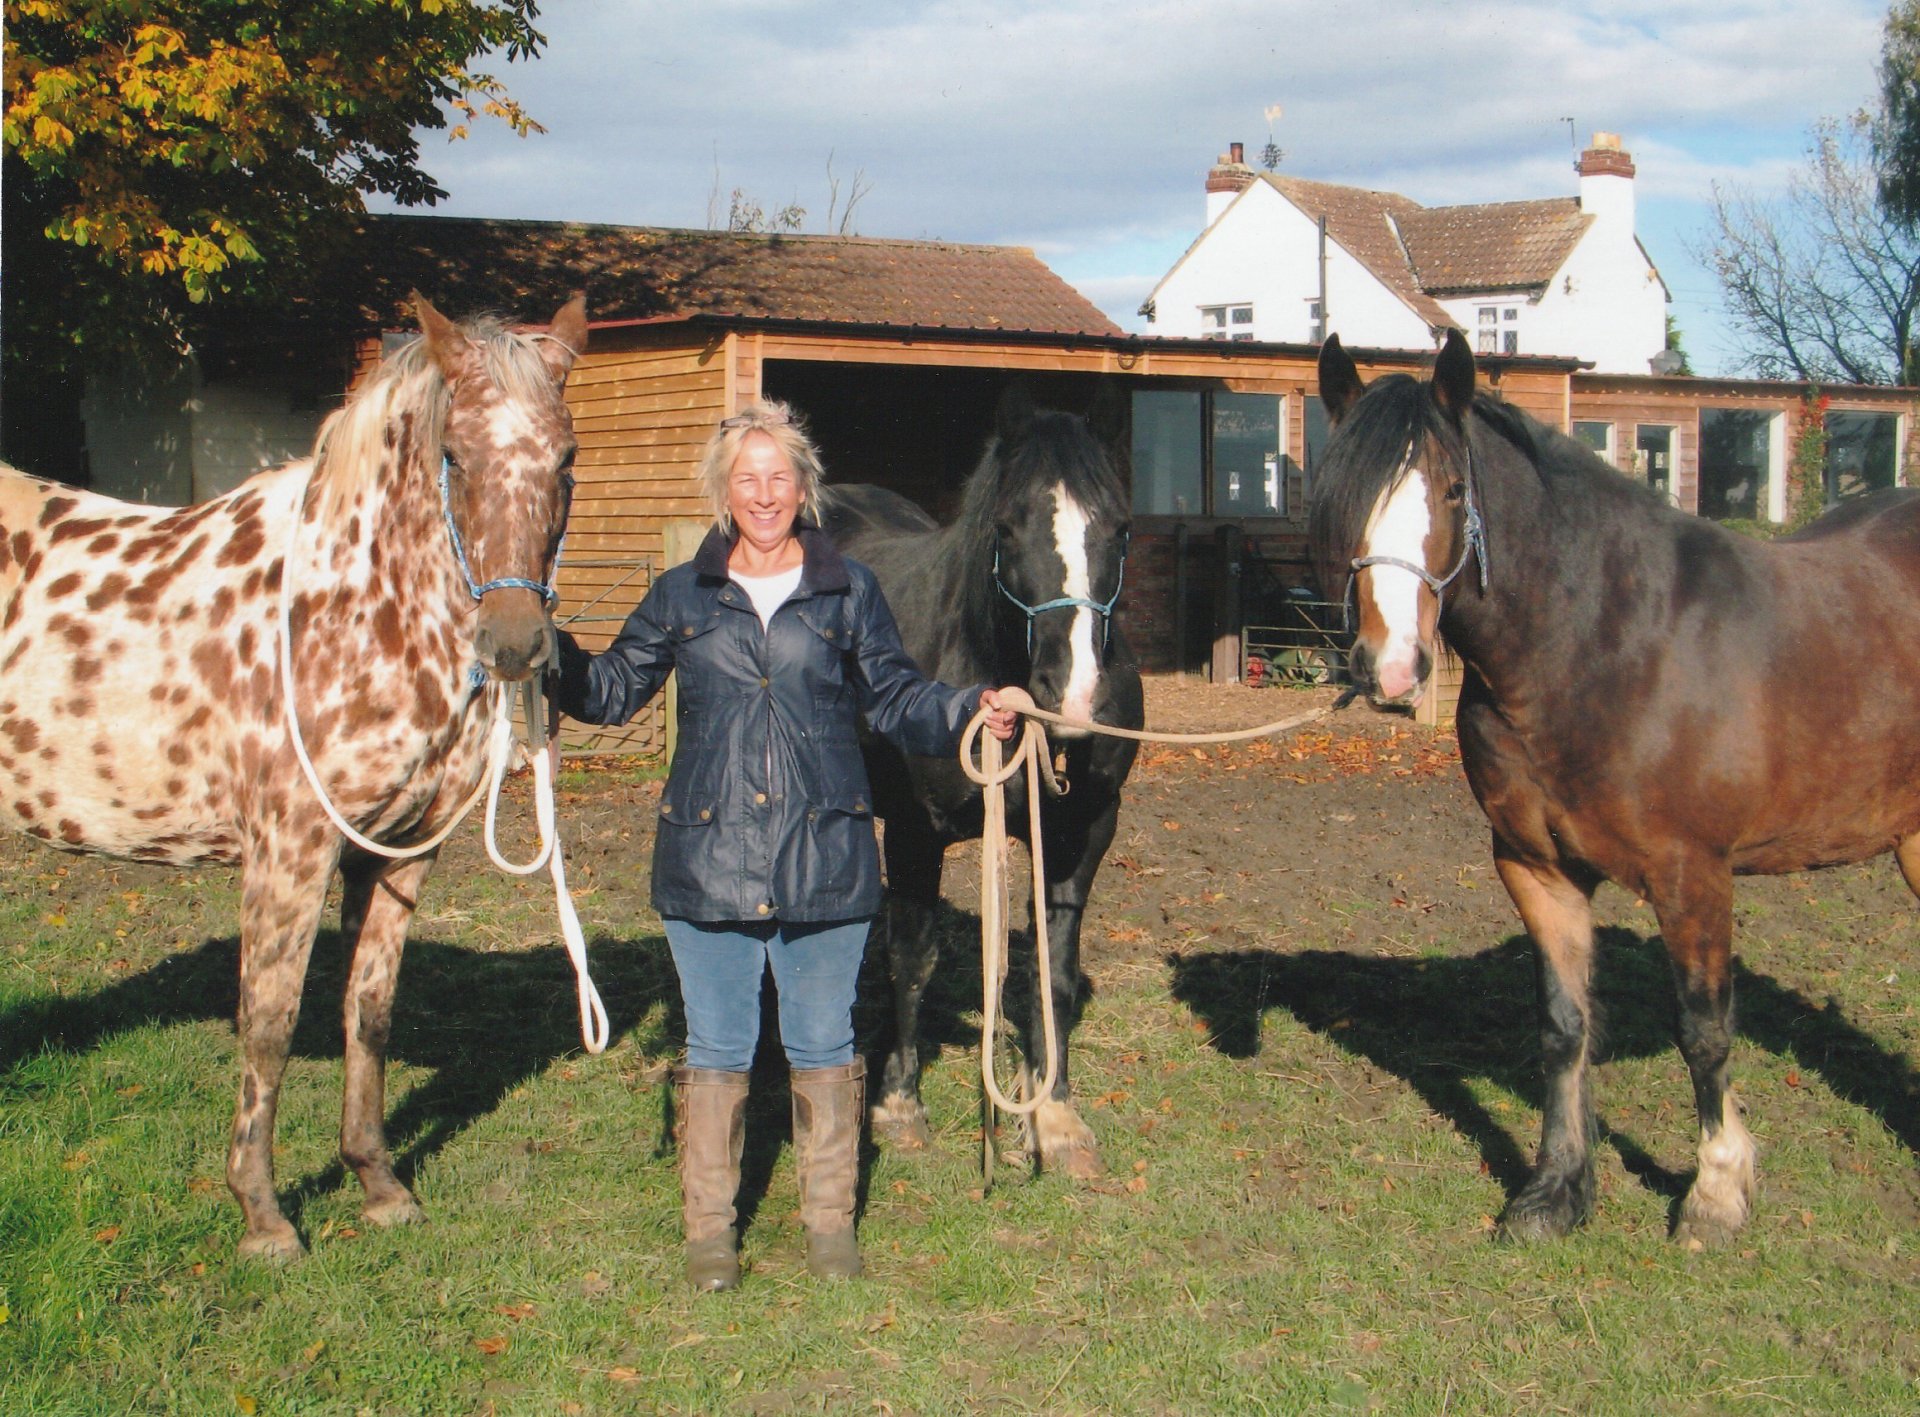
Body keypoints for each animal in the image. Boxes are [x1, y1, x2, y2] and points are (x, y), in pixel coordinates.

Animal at [0, 293, 586, 1260]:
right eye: (454, 453)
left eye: (567, 455)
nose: (513, 644)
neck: (351, 609)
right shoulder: (290, 852)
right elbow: (268, 1025)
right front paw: (264, 1216)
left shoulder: (397, 854)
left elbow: (369, 1012)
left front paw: (378, 1184)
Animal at [825, 390, 1143, 1177]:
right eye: (1006, 527)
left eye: (1120, 528)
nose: (1073, 696)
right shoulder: (914, 828)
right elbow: (912, 956)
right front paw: (900, 1104)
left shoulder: (1082, 830)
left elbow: (1054, 967)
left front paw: (1055, 1116)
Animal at [1307, 328, 1920, 1245]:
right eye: (1345, 498)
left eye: (1453, 490)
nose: (1391, 668)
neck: (1604, 640)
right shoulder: (1538, 867)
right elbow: (1565, 1027)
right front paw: (1555, 1191)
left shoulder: (1692, 874)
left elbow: (1703, 1031)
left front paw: (1715, 1194)